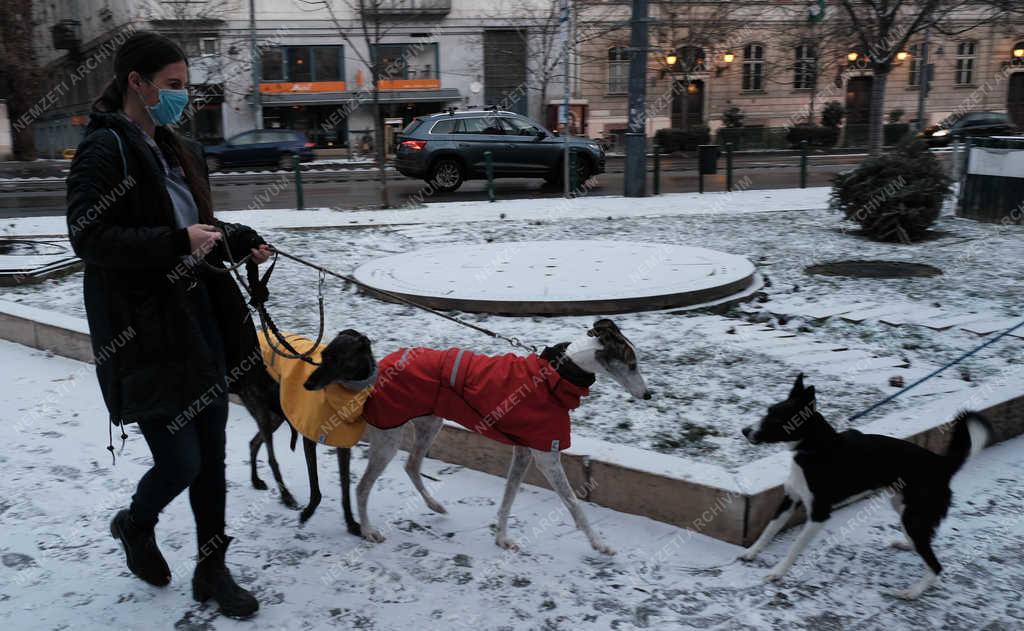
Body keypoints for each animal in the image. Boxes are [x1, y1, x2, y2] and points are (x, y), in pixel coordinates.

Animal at [741, 374, 987, 602]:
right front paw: (751, 553)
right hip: (903, 506)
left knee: (935, 565)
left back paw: (913, 591)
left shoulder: (819, 514)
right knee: (923, 541)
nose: (745, 430)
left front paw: (778, 572)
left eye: (775, 418)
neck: (814, 448)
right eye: (768, 411)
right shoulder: (790, 499)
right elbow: (769, 530)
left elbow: (795, 548)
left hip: (913, 515)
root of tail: (941, 463)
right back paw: (906, 545)